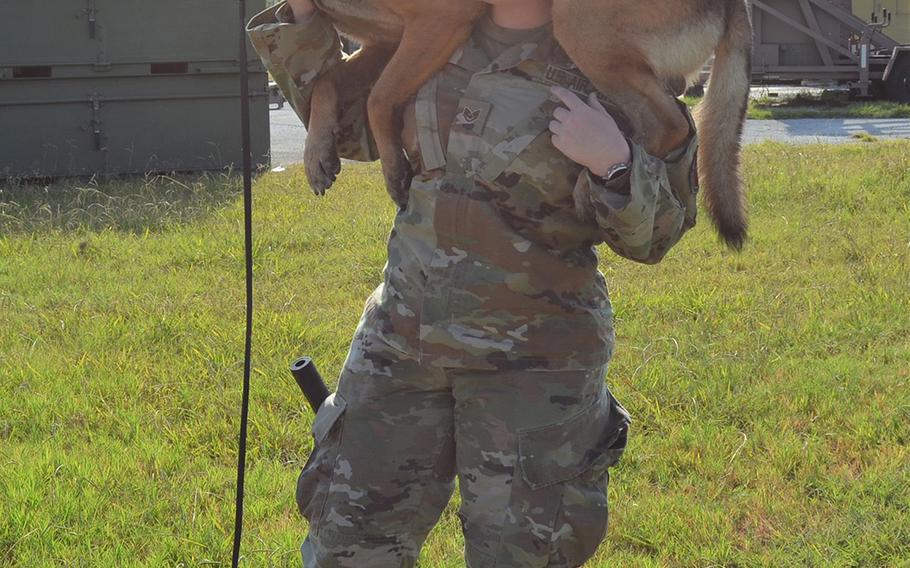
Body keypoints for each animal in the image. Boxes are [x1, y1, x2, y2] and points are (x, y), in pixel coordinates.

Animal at [306, 0, 756, 248]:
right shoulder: (391, 39)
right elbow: (328, 81)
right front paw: (316, 155)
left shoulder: (439, 20)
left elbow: (378, 98)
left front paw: (394, 171)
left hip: (580, 25)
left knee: (670, 123)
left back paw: (592, 187)